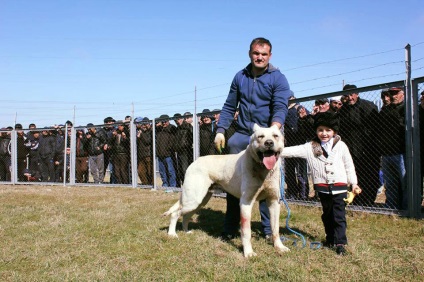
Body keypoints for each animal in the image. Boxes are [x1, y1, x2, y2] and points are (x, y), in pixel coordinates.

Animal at [162, 124, 288, 256]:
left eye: (275, 136)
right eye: (260, 136)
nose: (269, 143)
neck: (263, 170)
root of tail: (195, 161)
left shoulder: (274, 202)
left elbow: (275, 229)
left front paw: (279, 247)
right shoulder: (246, 203)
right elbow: (246, 231)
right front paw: (248, 253)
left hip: (200, 202)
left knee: (186, 216)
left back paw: (186, 232)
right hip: (193, 200)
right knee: (175, 214)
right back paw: (172, 234)